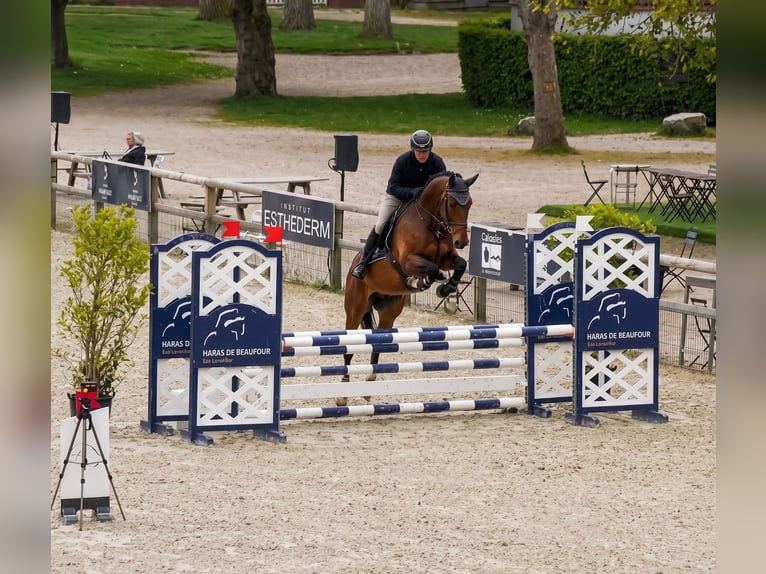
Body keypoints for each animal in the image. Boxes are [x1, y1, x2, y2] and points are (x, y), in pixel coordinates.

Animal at [339, 171, 478, 406]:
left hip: (389, 311)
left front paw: (445, 288)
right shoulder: (407, 260)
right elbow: (431, 268)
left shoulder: (447, 258)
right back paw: (342, 393)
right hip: (355, 308)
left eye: (469, 204)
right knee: (349, 347)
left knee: (379, 342)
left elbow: (460, 264)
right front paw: (422, 282)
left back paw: (370, 382)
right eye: (451, 203)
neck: (431, 223)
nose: (462, 242)